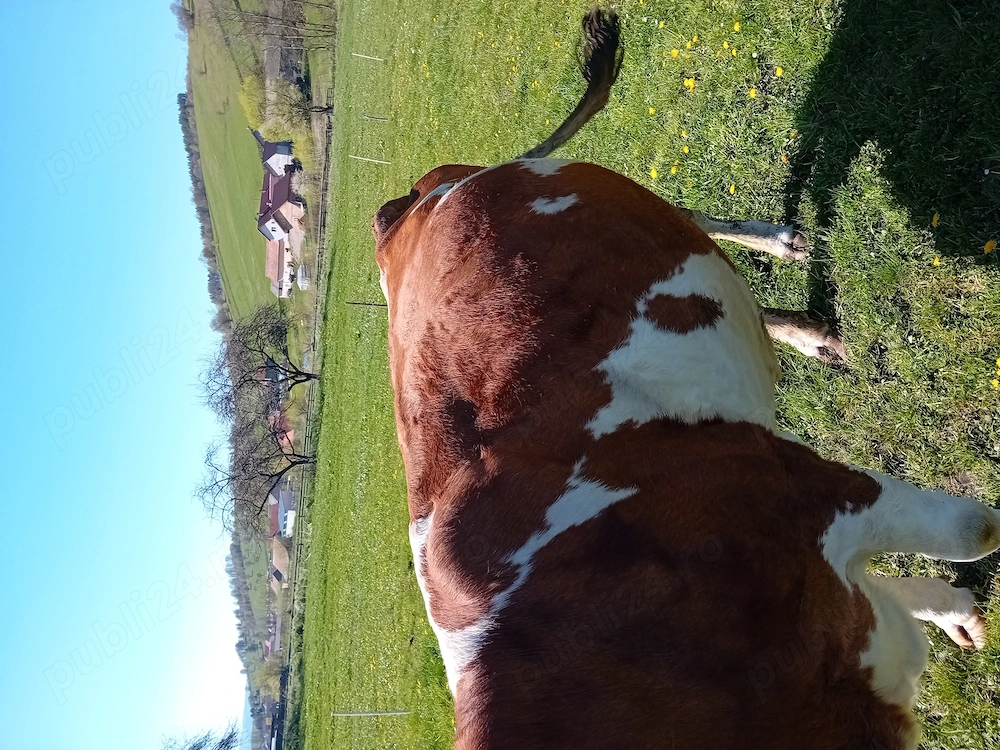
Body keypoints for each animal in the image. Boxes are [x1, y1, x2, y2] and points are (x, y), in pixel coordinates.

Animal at [372, 9, 997, 749]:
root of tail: (414, 202)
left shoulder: (812, 485)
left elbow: (973, 530)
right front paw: (955, 611)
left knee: (693, 218)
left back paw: (782, 250)